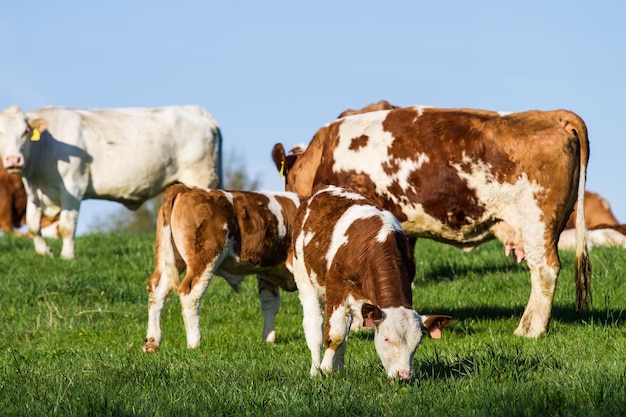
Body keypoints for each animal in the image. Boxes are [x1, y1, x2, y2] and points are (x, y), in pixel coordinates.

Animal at [0, 105, 222, 256]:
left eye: (25, 132)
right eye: (0, 134)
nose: (13, 160)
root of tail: (197, 111)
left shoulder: (73, 185)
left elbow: (66, 226)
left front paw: (67, 256)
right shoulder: (34, 191)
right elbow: (33, 225)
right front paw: (45, 252)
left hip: (199, 176)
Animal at [143, 183, 298, 352]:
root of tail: (187, 189)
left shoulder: (266, 270)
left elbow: (270, 303)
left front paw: (268, 340)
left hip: (170, 258)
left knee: (158, 289)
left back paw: (152, 342)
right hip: (205, 258)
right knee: (190, 294)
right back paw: (194, 343)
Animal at [288, 185, 448, 380]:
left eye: (417, 343)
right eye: (386, 339)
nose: (403, 375)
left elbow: (343, 335)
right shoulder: (336, 288)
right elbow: (335, 334)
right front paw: (325, 371)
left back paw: (339, 368)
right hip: (304, 278)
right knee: (314, 324)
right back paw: (315, 370)